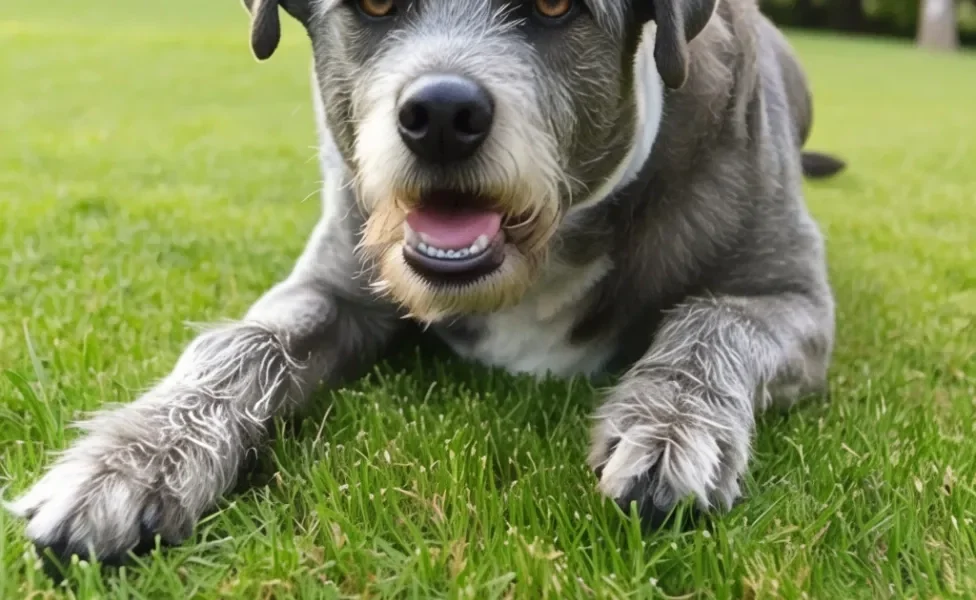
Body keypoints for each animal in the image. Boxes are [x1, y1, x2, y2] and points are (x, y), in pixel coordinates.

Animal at [7, 0, 848, 564]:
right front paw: (129, 460)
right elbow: (246, 341)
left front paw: (670, 429)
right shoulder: (338, 282)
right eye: (376, 6)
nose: (442, 114)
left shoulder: (791, 300)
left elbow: (715, 319)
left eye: (556, 7)